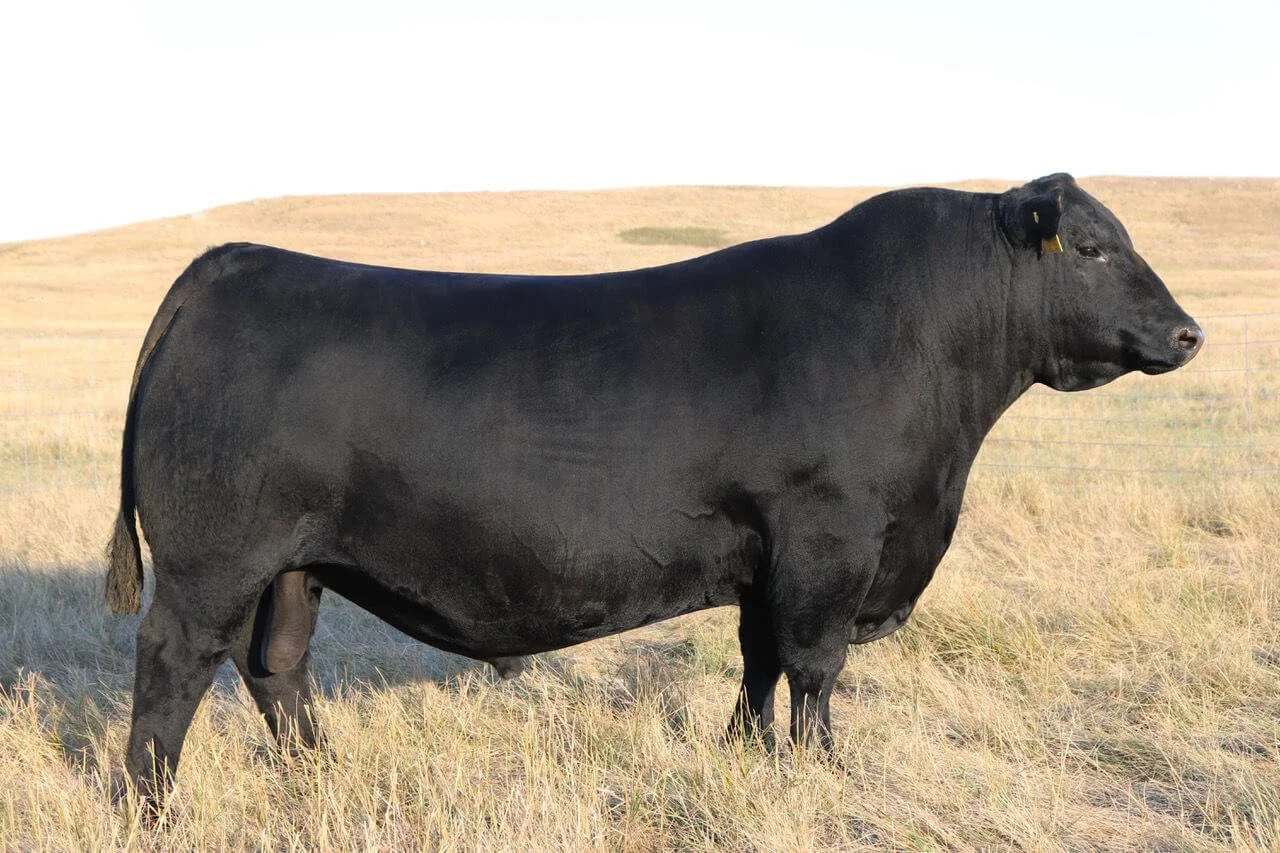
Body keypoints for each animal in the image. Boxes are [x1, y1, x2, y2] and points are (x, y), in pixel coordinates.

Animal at [106, 174, 1202, 808]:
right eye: (1093, 248)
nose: (1187, 332)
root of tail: (232, 262)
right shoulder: (833, 538)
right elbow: (815, 666)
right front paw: (825, 774)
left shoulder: (767, 554)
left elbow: (758, 660)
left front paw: (744, 755)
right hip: (215, 556)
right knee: (174, 663)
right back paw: (150, 806)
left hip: (296, 561)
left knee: (275, 666)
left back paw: (321, 775)